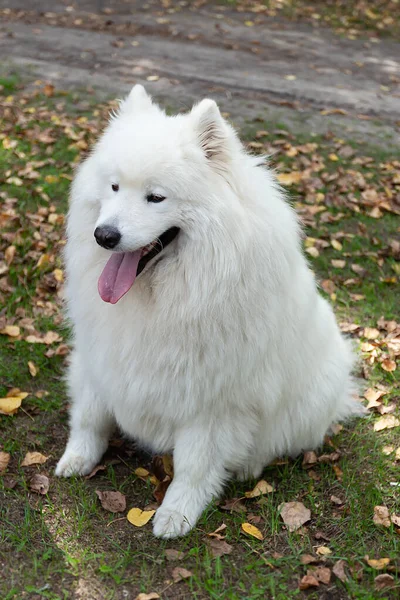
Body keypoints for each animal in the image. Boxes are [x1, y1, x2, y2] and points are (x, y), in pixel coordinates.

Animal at [54, 84, 358, 540]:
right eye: (113, 187)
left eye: (156, 197)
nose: (104, 236)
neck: (164, 295)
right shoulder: (100, 356)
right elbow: (90, 416)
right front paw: (77, 458)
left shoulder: (213, 401)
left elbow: (193, 466)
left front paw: (177, 513)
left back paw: (249, 464)